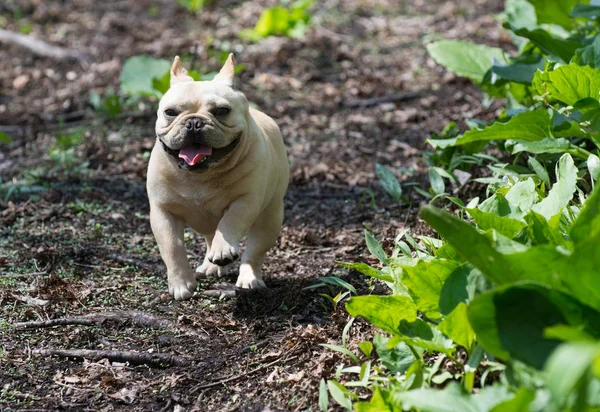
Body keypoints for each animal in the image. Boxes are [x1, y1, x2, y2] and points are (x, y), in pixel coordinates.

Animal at [148, 54, 290, 300]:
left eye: (222, 111)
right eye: (170, 112)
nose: (194, 122)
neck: (201, 175)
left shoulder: (245, 201)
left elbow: (230, 221)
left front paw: (223, 250)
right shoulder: (162, 211)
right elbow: (172, 246)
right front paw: (180, 283)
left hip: (269, 218)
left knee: (254, 250)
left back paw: (248, 278)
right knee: (209, 236)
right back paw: (210, 266)